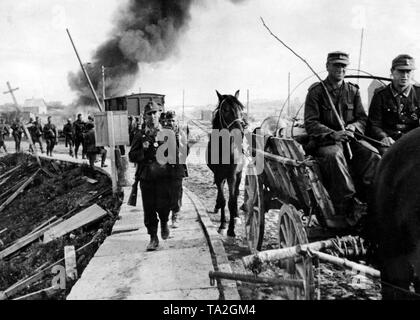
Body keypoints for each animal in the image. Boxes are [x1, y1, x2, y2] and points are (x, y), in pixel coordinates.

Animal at [206, 90, 246, 238]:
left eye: (241, 109)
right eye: (225, 110)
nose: (241, 129)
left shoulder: (232, 176)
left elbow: (232, 201)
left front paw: (231, 229)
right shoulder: (218, 175)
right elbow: (224, 200)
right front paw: (223, 226)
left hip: (239, 174)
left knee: (236, 194)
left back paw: (236, 216)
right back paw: (217, 206)